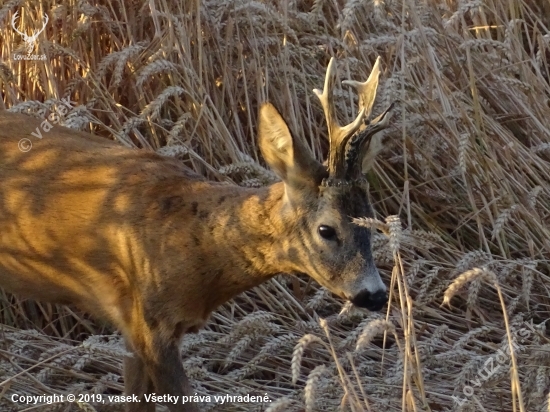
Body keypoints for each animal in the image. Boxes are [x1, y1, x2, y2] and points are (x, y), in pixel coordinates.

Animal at [0, 56, 396, 410]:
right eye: (327, 229)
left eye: (373, 221)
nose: (374, 294)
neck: (195, 244)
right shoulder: (150, 323)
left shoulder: (133, 327)